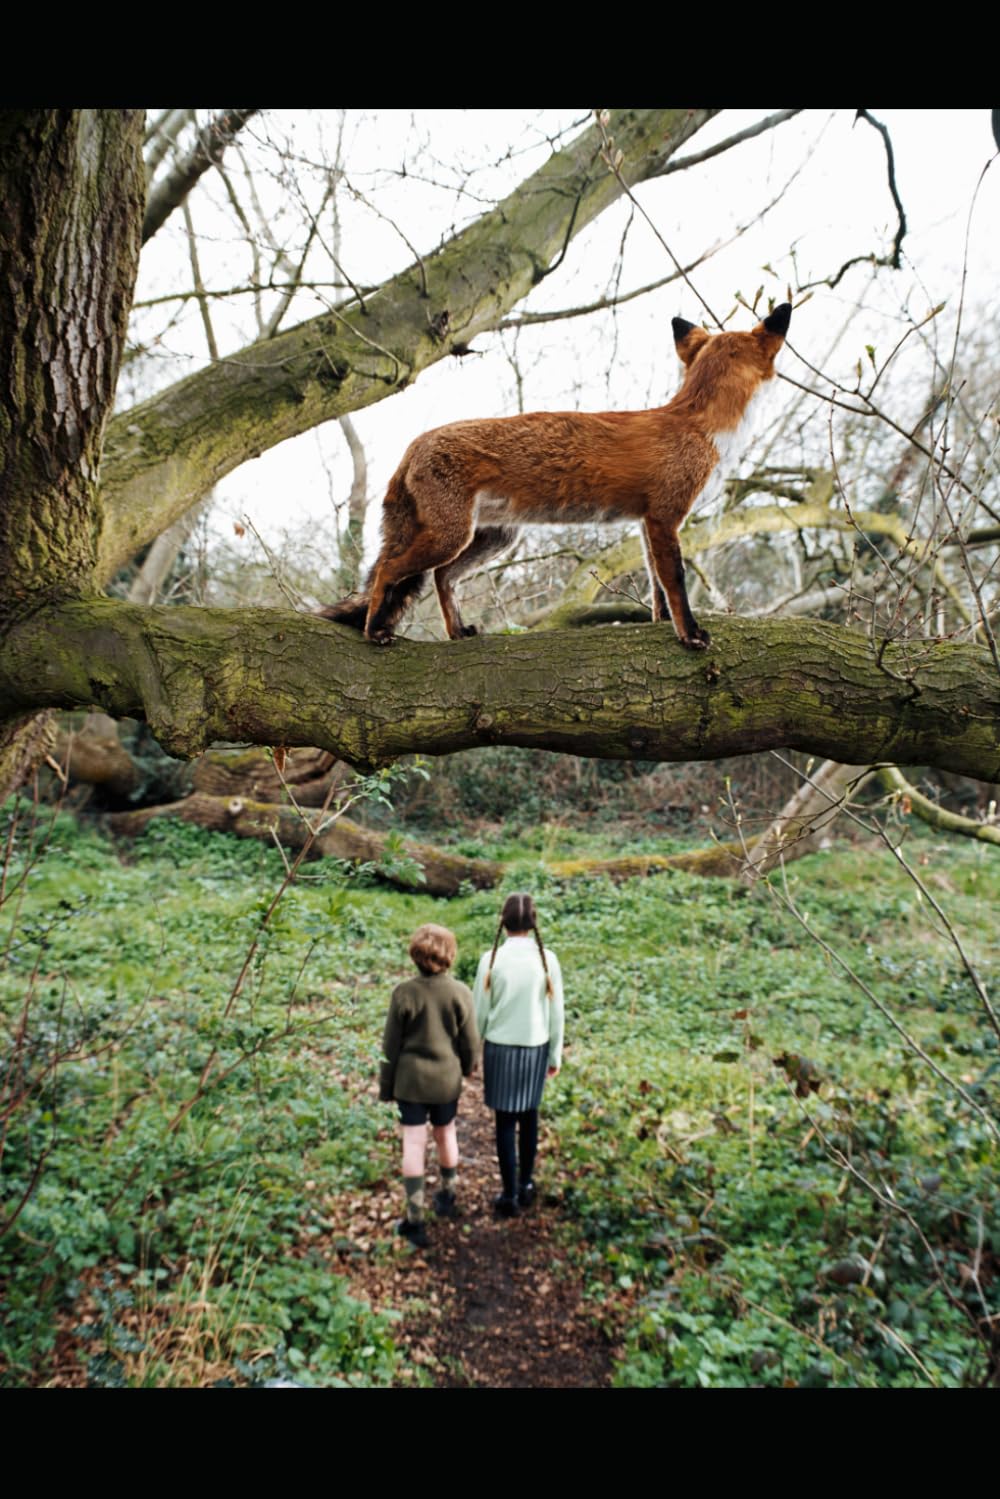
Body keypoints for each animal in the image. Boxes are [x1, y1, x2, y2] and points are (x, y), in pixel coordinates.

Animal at [319, 302, 792, 650]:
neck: (698, 425)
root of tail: (413, 445)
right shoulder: (665, 517)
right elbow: (675, 581)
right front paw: (689, 635)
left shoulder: (647, 523)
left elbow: (658, 588)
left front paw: (661, 625)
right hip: (449, 536)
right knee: (388, 571)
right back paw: (374, 631)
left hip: (491, 539)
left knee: (440, 578)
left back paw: (457, 632)